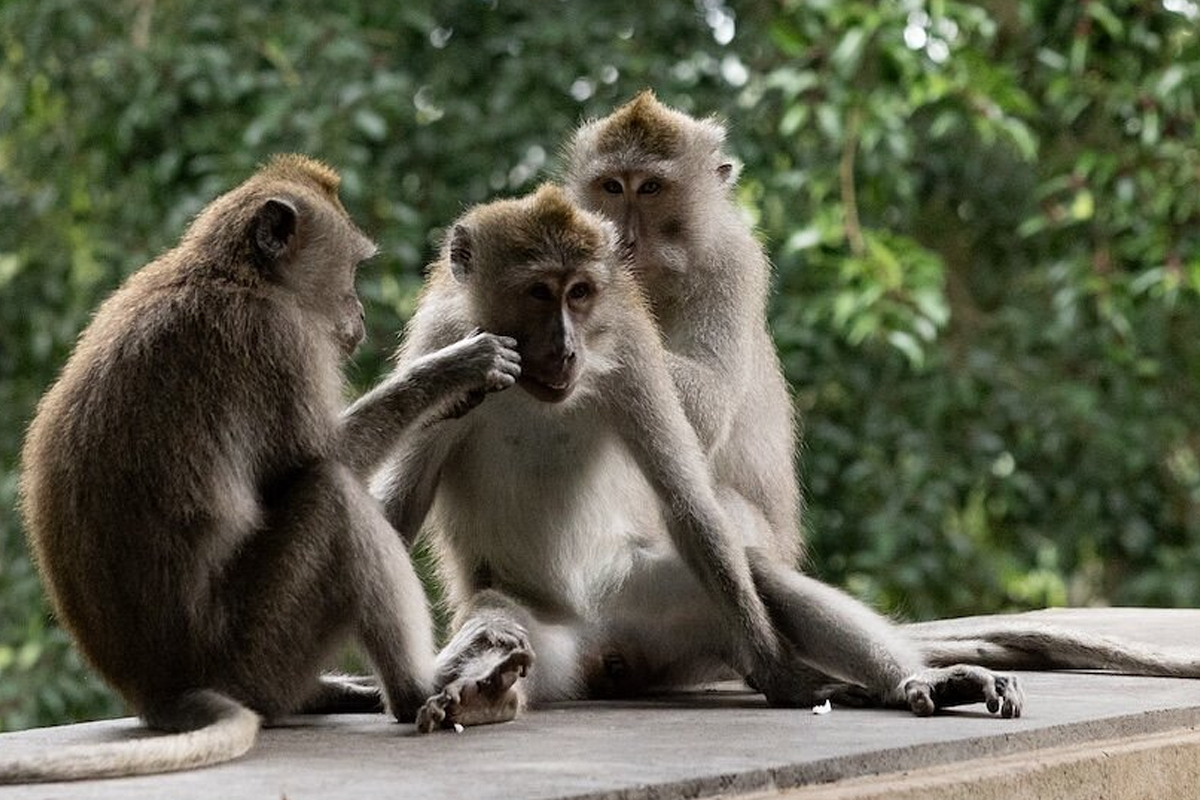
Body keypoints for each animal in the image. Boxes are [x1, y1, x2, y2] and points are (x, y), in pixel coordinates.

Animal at [1, 155, 520, 784]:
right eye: (352, 268)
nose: (359, 309)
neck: (234, 275)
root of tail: (164, 694)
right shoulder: (276, 342)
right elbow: (329, 459)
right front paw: (451, 372)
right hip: (252, 653)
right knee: (330, 497)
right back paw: (416, 692)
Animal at [372, 184, 1024, 734]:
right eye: (538, 292)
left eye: (579, 293)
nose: (566, 348)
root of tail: (601, 649)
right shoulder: (441, 344)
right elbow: (399, 503)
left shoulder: (630, 348)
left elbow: (686, 500)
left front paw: (786, 676)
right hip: (548, 642)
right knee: (500, 621)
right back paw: (486, 691)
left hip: (667, 611)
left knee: (755, 574)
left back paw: (915, 681)